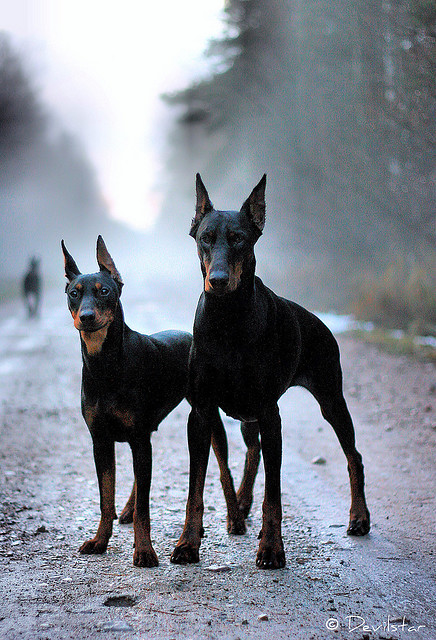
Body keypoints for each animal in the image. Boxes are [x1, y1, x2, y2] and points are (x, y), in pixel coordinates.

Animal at [61, 238, 245, 568]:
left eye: (104, 291)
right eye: (74, 293)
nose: (87, 317)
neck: (105, 365)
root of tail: (189, 335)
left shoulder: (137, 437)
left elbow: (146, 509)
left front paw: (145, 551)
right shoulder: (101, 441)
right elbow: (105, 499)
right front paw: (100, 541)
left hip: (208, 419)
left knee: (224, 470)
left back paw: (235, 520)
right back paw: (127, 509)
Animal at [172, 174, 370, 568]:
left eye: (239, 239)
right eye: (205, 237)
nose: (218, 280)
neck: (228, 322)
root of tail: (320, 322)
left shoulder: (269, 412)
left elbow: (274, 495)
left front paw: (272, 549)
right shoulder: (201, 412)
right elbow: (195, 489)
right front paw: (188, 543)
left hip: (329, 396)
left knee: (352, 456)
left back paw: (359, 518)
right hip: (245, 414)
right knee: (253, 451)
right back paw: (241, 503)